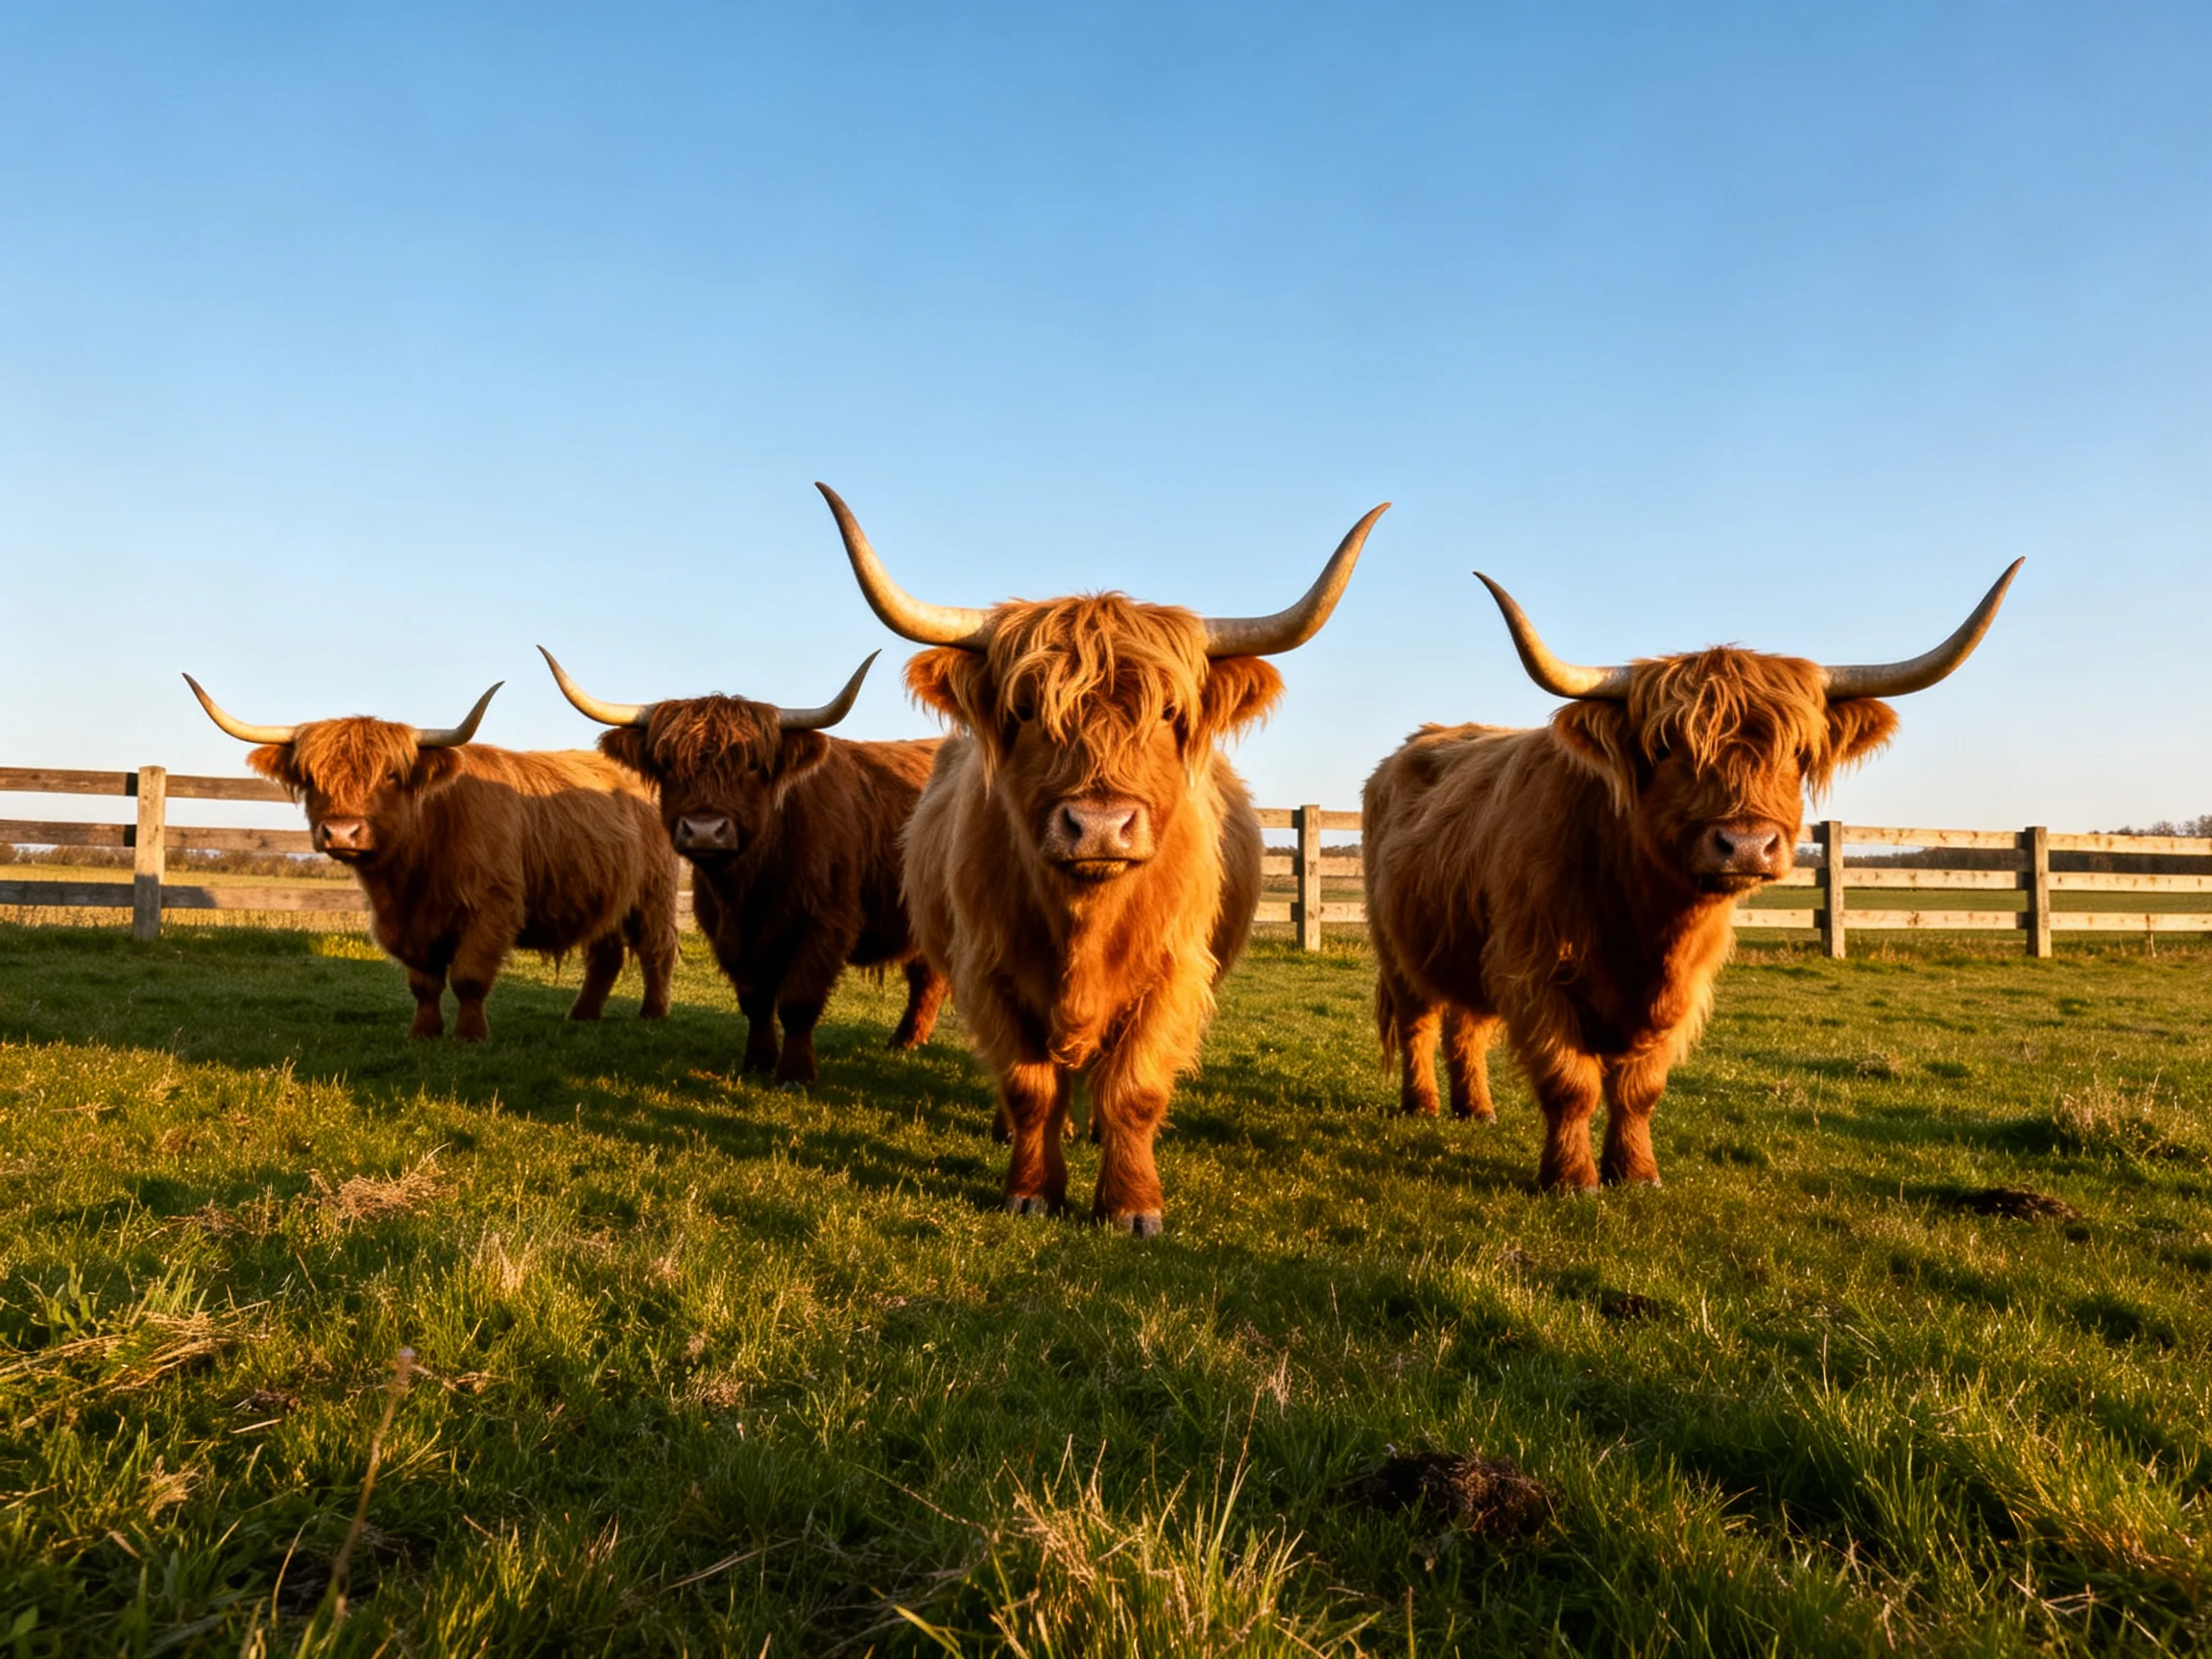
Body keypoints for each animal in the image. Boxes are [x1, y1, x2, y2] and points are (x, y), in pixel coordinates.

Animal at [184, 676, 678, 1041]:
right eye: (309, 777)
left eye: (390, 775)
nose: (341, 831)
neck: (412, 872)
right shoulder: (403, 924)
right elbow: (423, 983)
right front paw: (423, 1031)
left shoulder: (491, 908)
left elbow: (469, 977)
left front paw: (470, 1036)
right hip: (606, 893)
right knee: (606, 955)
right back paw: (582, 1015)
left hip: (653, 893)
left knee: (656, 948)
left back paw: (652, 1014)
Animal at [537, 646, 951, 1085]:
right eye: (668, 764)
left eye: (753, 766)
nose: (704, 831)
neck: (749, 887)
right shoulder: (728, 932)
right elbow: (754, 1000)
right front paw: (757, 1062)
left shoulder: (826, 923)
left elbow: (798, 1000)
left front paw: (795, 1073)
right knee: (928, 975)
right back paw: (906, 1040)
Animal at [821, 481, 1387, 1234]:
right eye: (1026, 710)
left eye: (1169, 713)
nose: (1097, 825)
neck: (1084, 923)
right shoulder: (988, 970)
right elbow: (1029, 1087)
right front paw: (1032, 1190)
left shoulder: (1174, 973)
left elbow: (1134, 1089)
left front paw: (1131, 1205)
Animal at [1360, 562, 2022, 1190]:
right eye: (1665, 749)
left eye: (1797, 752)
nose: (1747, 845)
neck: (1644, 924)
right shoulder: (1533, 968)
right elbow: (1571, 1083)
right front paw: (1572, 1180)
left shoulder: (1681, 989)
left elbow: (1639, 1089)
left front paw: (1637, 1172)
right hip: (1397, 947)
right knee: (1420, 1021)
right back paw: (1422, 1105)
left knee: (1465, 1023)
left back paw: (1476, 1109)